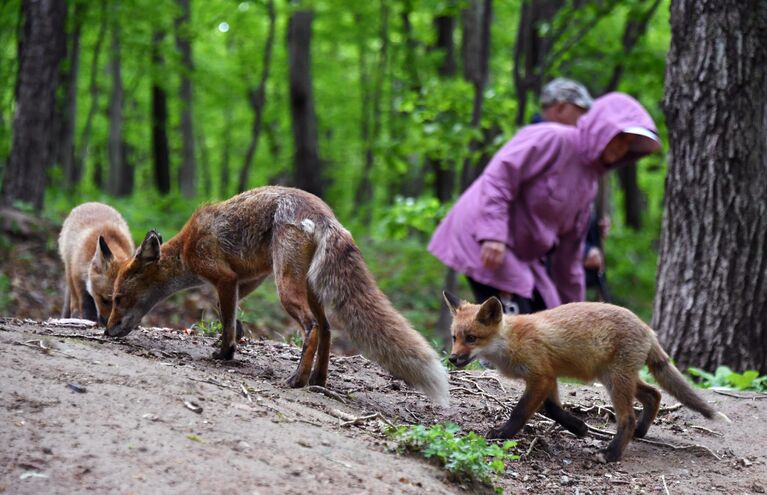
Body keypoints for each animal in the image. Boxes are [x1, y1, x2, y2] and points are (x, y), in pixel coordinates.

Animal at [103, 186, 450, 406]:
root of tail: (327, 215)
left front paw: (225, 352)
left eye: (117, 298)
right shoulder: (250, 278)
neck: (187, 247)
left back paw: (298, 379)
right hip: (308, 285)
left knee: (312, 327)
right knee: (327, 329)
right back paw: (318, 380)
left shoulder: (225, 277)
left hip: (286, 287)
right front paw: (233, 341)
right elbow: (228, 314)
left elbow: (225, 318)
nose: (106, 331)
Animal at [444, 292, 728, 464]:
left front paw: (503, 433)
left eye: (471, 338)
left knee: (628, 417)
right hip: (616, 377)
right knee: (654, 394)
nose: (453, 359)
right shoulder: (549, 377)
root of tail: (647, 328)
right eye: (454, 337)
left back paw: (612, 454)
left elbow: (521, 411)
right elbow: (551, 409)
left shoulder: (540, 376)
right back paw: (641, 431)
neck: (510, 342)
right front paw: (579, 427)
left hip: (616, 381)